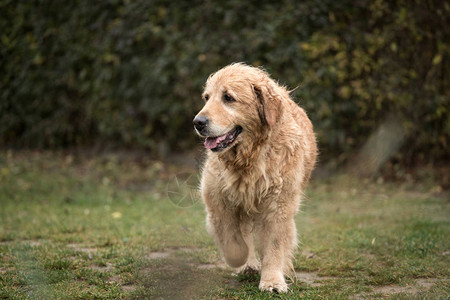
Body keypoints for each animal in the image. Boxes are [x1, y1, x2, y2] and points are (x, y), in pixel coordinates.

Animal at [193, 63, 316, 292]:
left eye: (228, 97)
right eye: (207, 97)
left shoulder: (278, 205)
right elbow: (232, 239)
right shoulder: (217, 200)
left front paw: (272, 281)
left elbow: (274, 246)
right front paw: (240, 260)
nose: (198, 122)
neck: (248, 158)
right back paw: (248, 264)